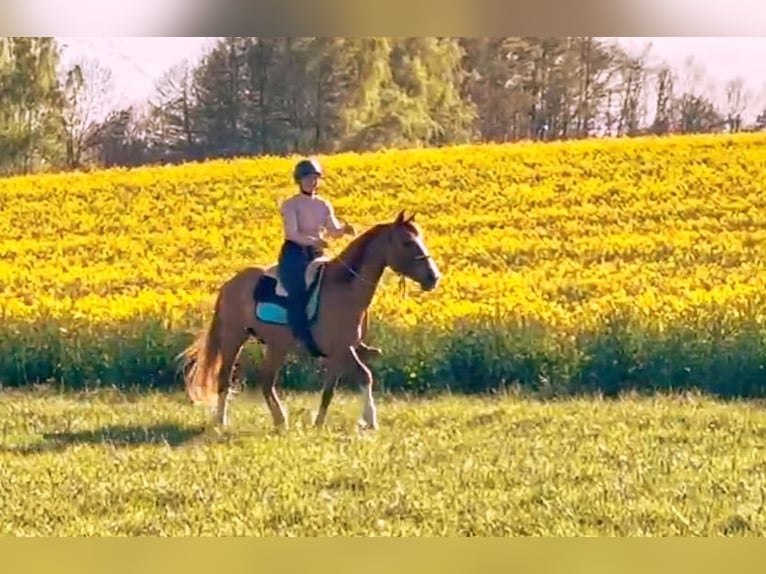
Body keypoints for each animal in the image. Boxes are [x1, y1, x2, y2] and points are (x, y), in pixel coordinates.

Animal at [177, 210, 441, 431]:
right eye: (407, 242)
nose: (433, 277)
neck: (344, 289)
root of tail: (230, 284)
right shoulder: (340, 349)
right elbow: (351, 381)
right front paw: (359, 421)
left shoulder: (342, 351)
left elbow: (344, 384)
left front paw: (336, 423)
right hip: (235, 338)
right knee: (225, 378)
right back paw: (222, 422)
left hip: (275, 346)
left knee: (266, 381)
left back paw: (280, 420)